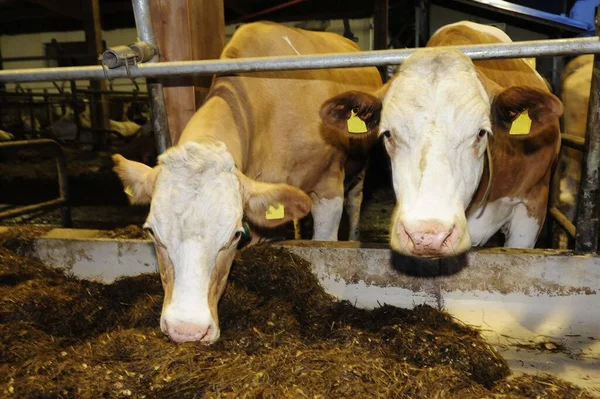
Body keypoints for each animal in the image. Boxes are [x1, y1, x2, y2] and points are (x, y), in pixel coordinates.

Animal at [112, 21, 382, 344]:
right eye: (152, 232)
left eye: (233, 236)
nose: (187, 331)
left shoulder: (329, 185)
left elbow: (325, 240)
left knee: (356, 201)